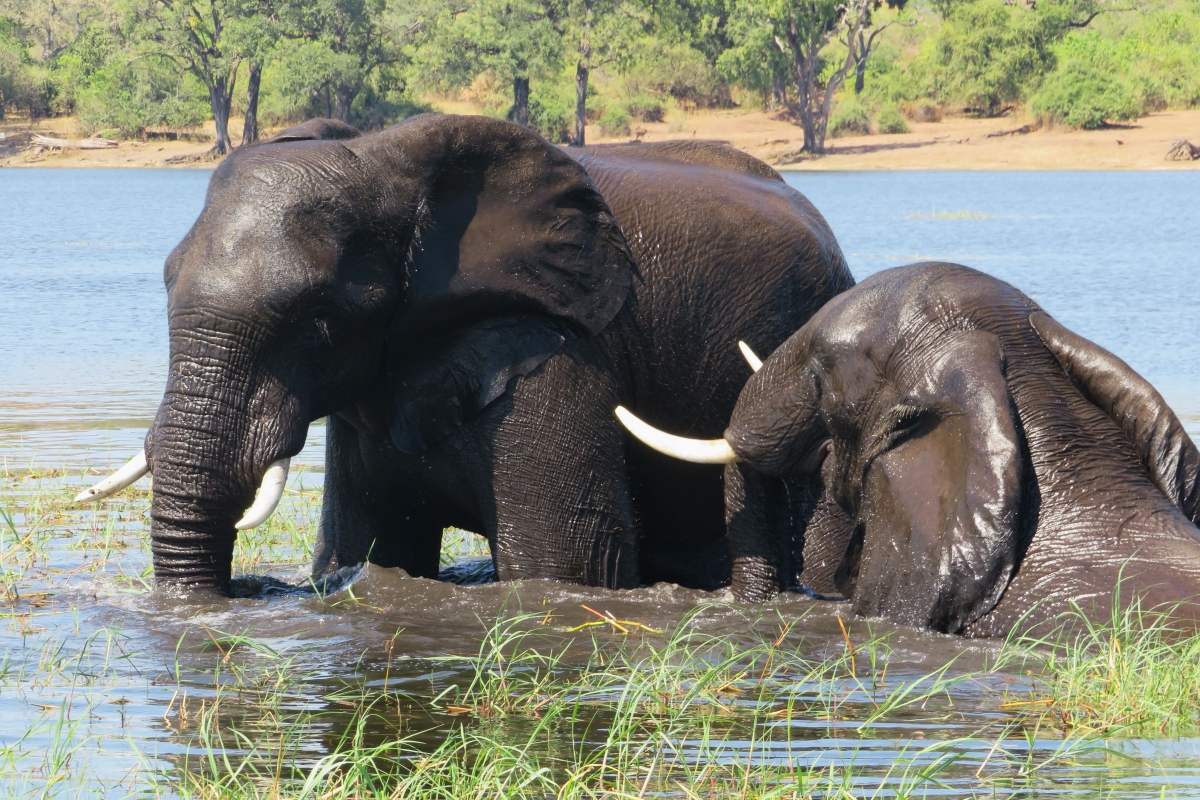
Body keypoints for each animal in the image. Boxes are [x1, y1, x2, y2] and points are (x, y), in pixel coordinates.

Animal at [77, 115, 854, 597]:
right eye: (166, 282)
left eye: (321, 319)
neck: (387, 163)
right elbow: (368, 551)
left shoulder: (554, 349)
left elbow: (567, 566)